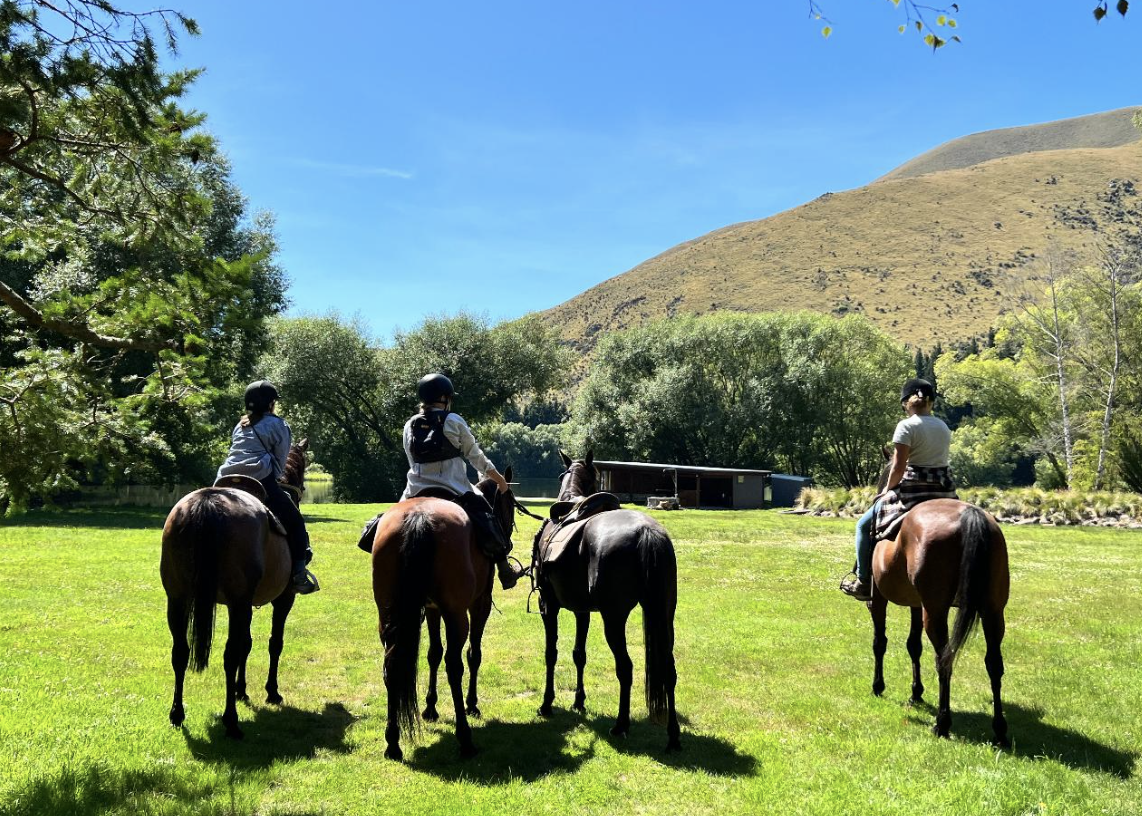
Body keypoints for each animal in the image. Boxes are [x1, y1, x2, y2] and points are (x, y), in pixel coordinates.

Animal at [161, 440, 310, 739]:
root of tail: (208, 501)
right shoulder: (282, 599)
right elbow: (273, 643)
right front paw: (271, 691)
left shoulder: (245, 604)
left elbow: (247, 643)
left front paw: (242, 690)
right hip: (236, 601)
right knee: (228, 656)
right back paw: (231, 721)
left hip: (178, 599)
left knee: (180, 652)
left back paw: (177, 713)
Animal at [370, 470, 523, 762]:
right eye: (509, 503)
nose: (508, 539)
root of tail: (419, 518)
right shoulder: (479, 604)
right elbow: (473, 654)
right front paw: (472, 704)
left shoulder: (431, 608)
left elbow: (432, 654)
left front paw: (430, 707)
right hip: (456, 616)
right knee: (455, 666)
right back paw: (465, 739)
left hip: (388, 614)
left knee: (391, 666)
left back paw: (393, 742)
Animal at [532, 449, 680, 748]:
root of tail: (646, 532)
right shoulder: (582, 611)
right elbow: (579, 654)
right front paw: (579, 701)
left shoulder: (548, 606)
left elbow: (551, 653)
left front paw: (547, 704)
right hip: (663, 615)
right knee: (668, 669)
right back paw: (673, 736)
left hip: (614, 619)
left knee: (625, 667)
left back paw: (621, 725)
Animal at [863, 449, 1009, 748]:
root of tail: (970, 515)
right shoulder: (916, 604)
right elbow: (913, 645)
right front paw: (916, 692)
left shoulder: (879, 599)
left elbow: (880, 642)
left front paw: (878, 686)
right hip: (992, 611)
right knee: (994, 663)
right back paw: (1000, 730)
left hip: (936, 611)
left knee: (944, 658)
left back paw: (942, 723)